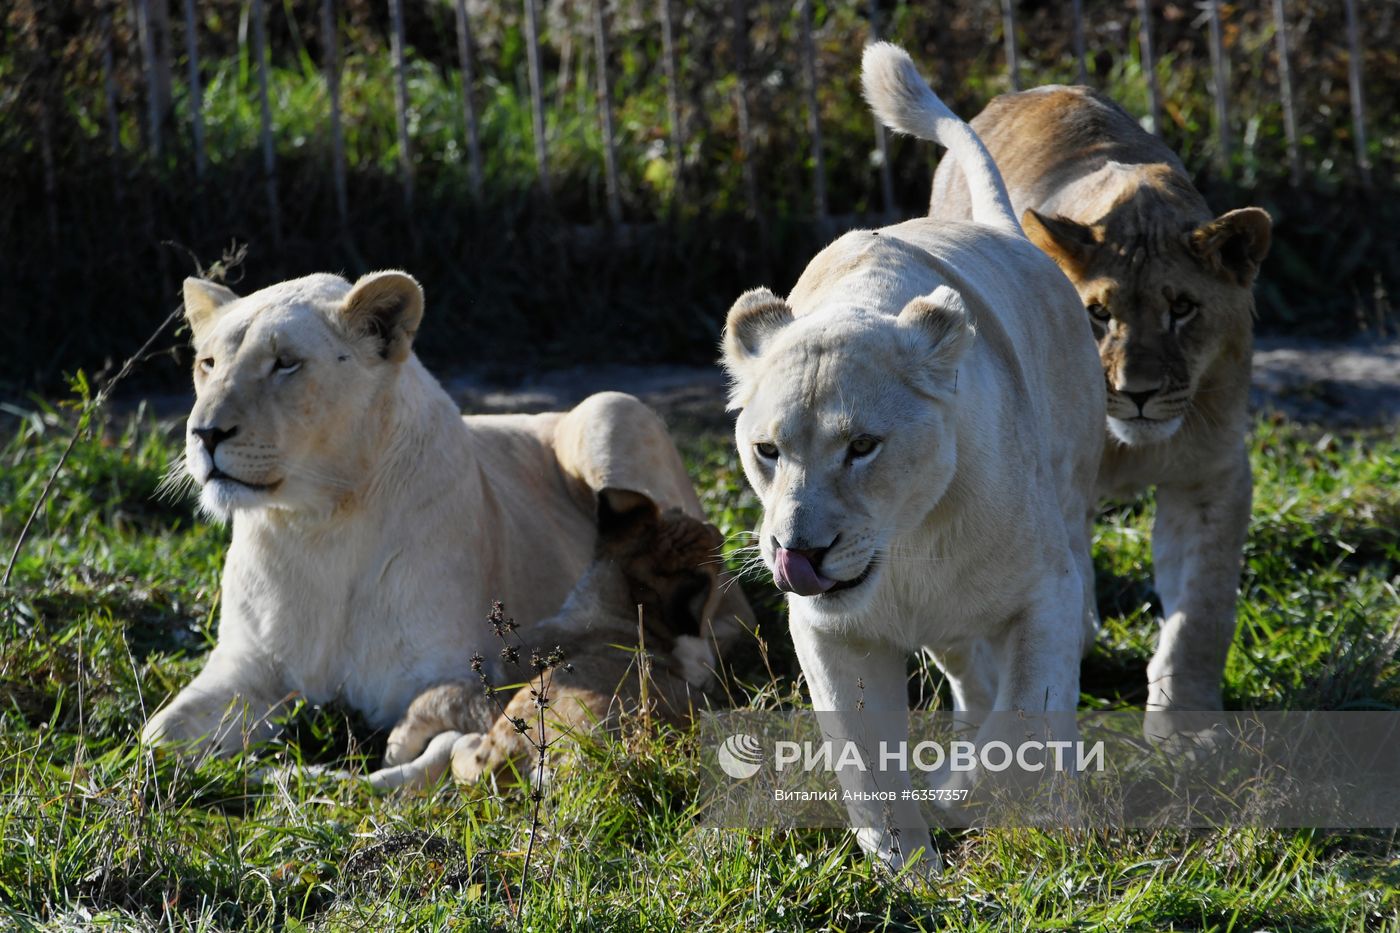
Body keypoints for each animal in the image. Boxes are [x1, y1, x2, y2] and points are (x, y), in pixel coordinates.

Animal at [141, 270, 753, 765]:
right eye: (207, 363)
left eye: (285, 363)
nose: (204, 433)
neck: (318, 525)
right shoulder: (245, 669)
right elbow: (155, 738)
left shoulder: (457, 673)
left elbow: (440, 719)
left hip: (611, 409)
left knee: (725, 614)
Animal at [717, 44, 1104, 868]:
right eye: (767, 450)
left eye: (862, 446)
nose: (800, 551)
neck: (907, 548)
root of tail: (1006, 229)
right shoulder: (829, 630)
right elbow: (866, 755)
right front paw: (907, 867)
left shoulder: (1045, 590)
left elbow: (1022, 718)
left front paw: (966, 792)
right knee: (971, 678)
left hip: (1072, 507)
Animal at [929, 85, 1272, 716]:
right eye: (1098, 313)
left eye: (1182, 308)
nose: (1138, 393)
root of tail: (1027, 92)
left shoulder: (1212, 474)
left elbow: (1201, 611)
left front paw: (1185, 723)